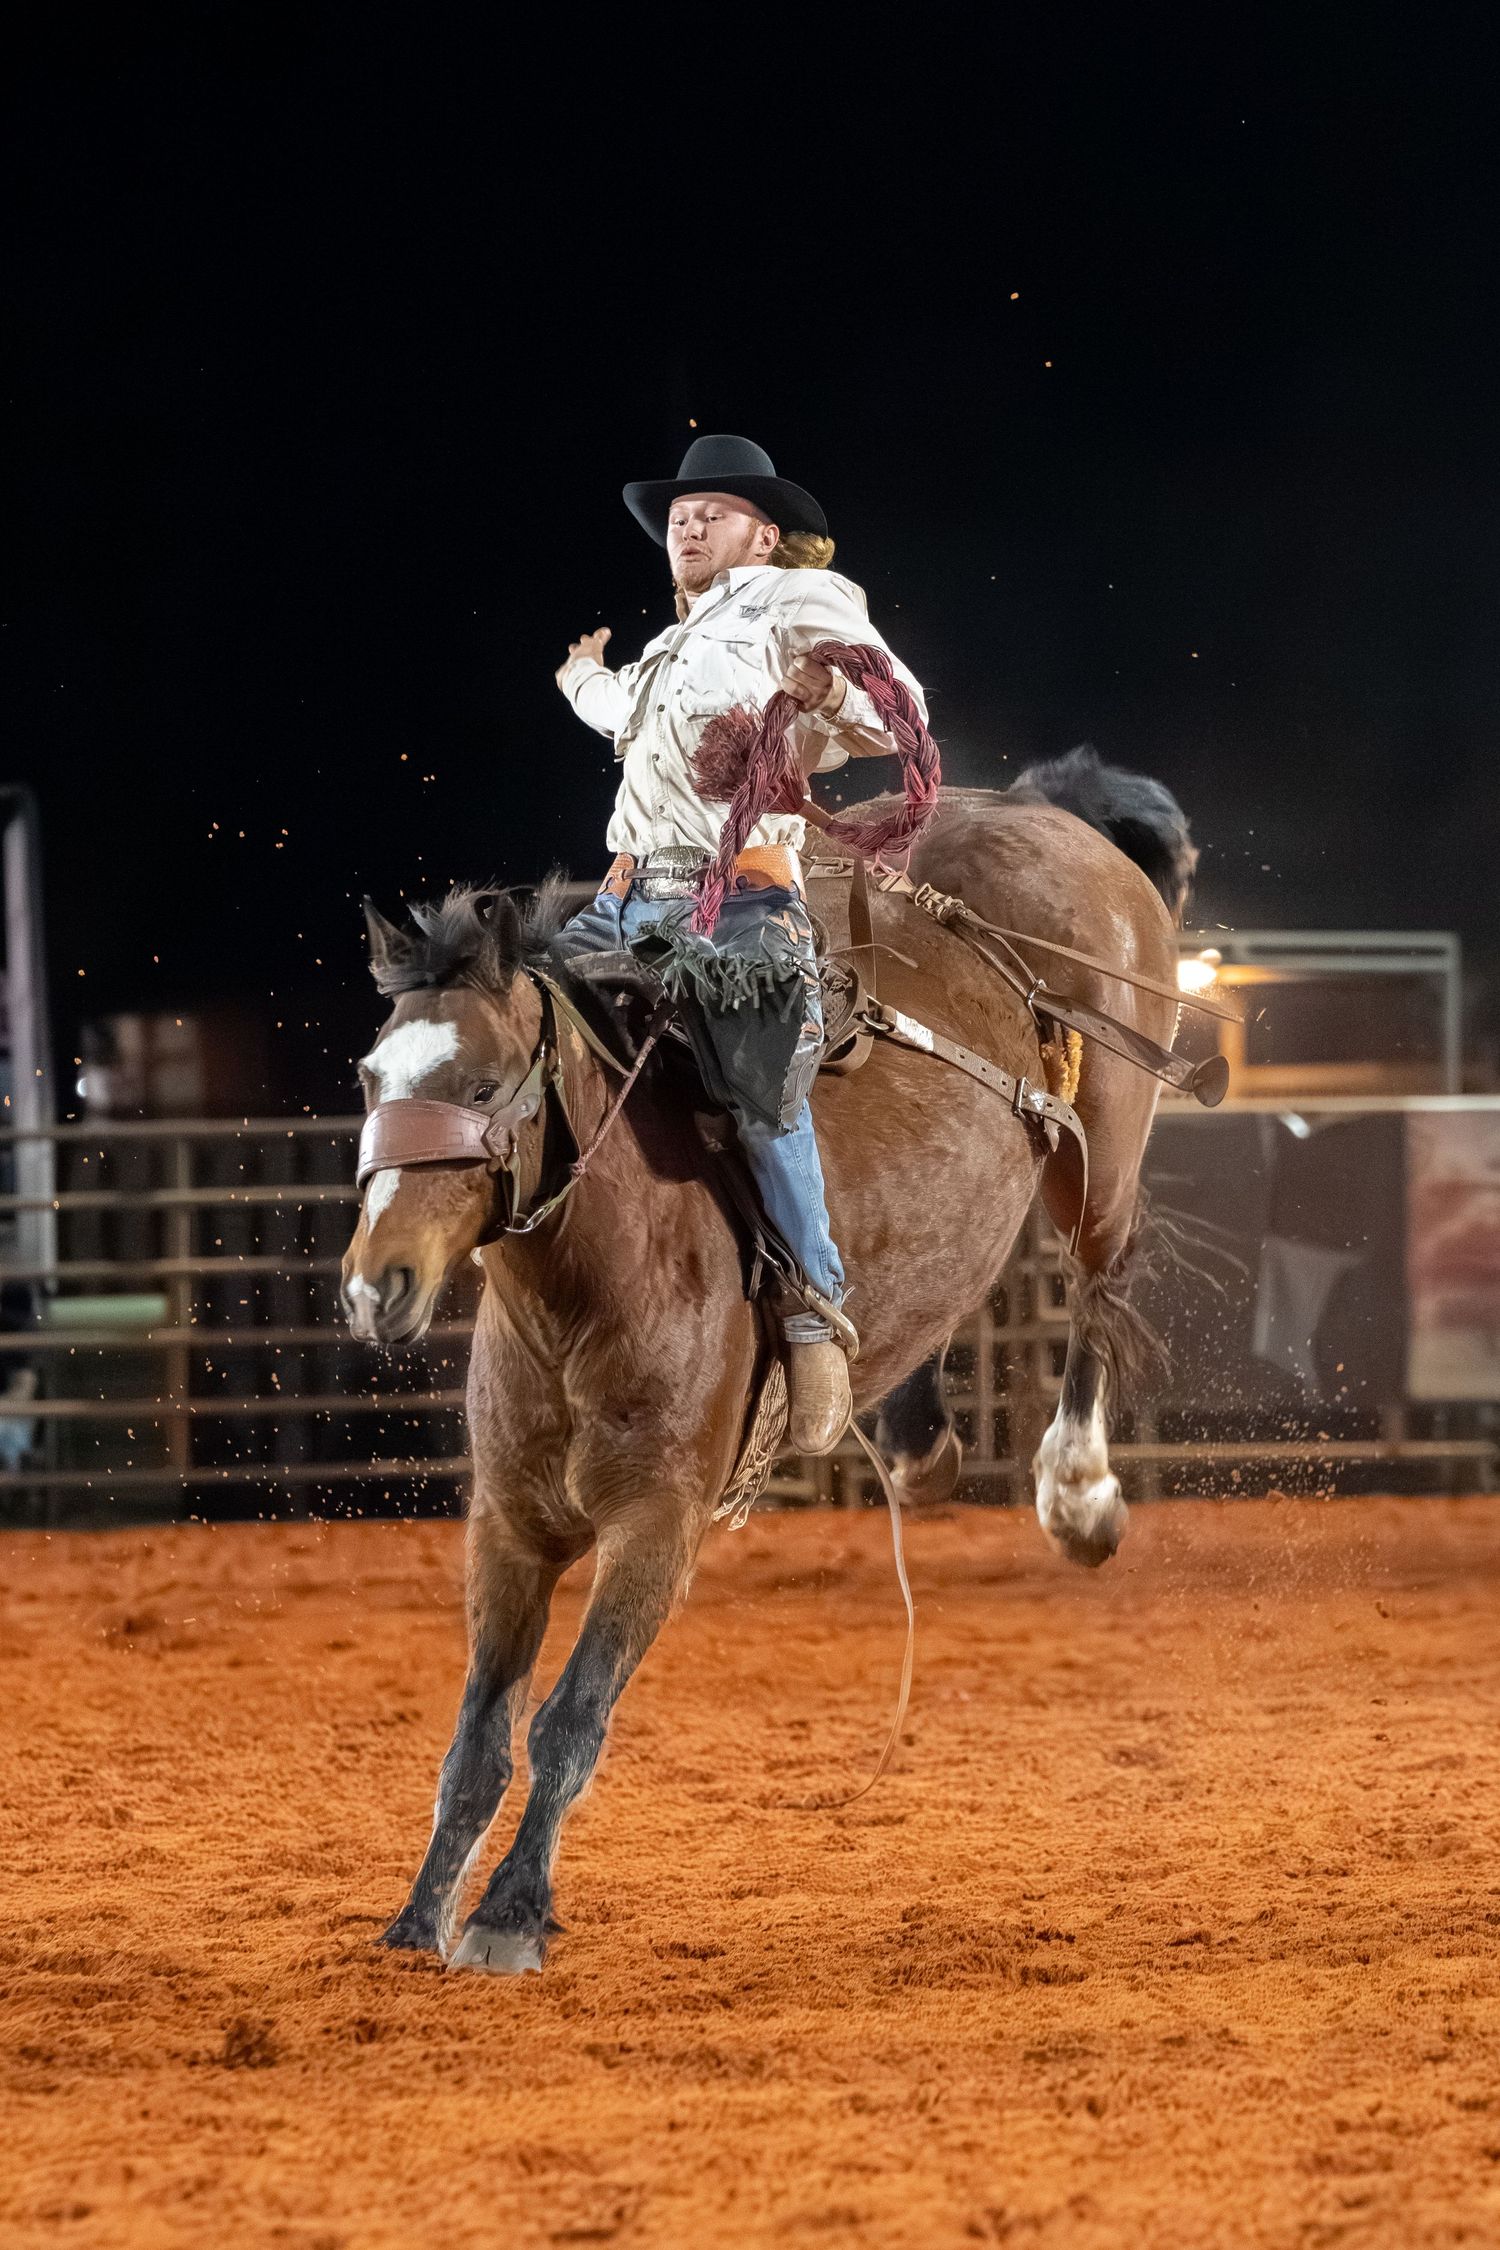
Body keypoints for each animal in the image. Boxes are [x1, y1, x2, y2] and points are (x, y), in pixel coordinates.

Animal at [340, 748, 1194, 1975]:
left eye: (486, 1084)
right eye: (372, 1077)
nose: (378, 1284)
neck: (588, 1291)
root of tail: (1040, 808)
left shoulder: (658, 1524)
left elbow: (568, 1721)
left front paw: (507, 1915)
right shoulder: (508, 1527)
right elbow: (477, 1738)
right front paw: (418, 1918)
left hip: (1108, 1147)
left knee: (1097, 1283)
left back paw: (1077, 1492)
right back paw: (903, 1430)